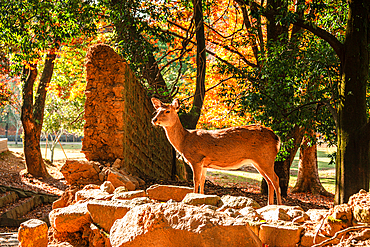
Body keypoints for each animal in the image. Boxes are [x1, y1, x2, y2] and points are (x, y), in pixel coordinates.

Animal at [152, 97, 282, 206]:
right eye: (157, 110)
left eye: (167, 111)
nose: (154, 120)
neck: (184, 141)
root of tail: (277, 138)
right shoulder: (204, 164)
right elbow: (202, 181)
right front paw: (200, 198)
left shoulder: (196, 159)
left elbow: (196, 180)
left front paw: (192, 198)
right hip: (259, 161)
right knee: (269, 181)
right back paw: (269, 205)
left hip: (265, 158)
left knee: (275, 179)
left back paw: (279, 205)